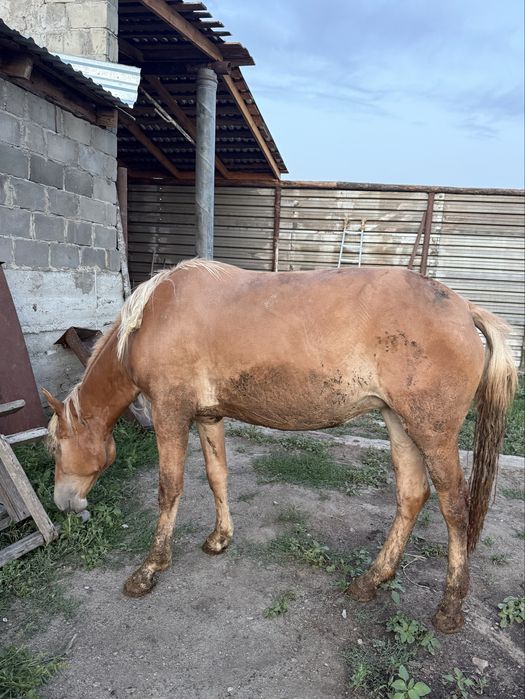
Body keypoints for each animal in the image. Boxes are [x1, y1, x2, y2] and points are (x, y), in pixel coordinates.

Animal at [43, 259, 517, 634]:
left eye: (54, 448)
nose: (62, 502)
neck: (154, 316)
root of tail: (463, 309)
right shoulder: (208, 417)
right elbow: (217, 475)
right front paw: (220, 538)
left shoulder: (170, 413)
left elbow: (169, 487)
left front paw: (149, 569)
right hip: (399, 423)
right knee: (412, 496)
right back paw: (371, 580)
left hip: (432, 433)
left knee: (455, 508)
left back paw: (450, 607)